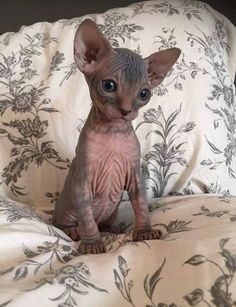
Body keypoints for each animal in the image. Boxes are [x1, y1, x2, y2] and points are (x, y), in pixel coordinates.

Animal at [52, 19, 181, 255]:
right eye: (109, 85)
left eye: (144, 94)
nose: (126, 110)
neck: (113, 133)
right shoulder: (82, 182)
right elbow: (87, 219)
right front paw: (92, 244)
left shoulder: (135, 176)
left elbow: (141, 206)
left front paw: (144, 232)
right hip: (64, 212)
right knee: (65, 224)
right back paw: (74, 232)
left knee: (104, 223)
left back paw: (114, 228)